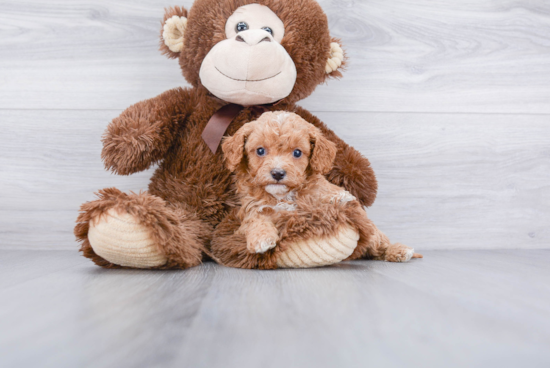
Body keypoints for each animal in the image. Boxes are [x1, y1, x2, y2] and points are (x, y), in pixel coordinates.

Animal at [211, 110, 422, 268]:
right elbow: (256, 219)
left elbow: (335, 197)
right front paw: (262, 238)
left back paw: (399, 250)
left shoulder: (322, 194)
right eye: (260, 151)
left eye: (297, 153)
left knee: (379, 243)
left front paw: (342, 200)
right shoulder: (250, 210)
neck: (283, 196)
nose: (278, 173)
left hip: (373, 234)